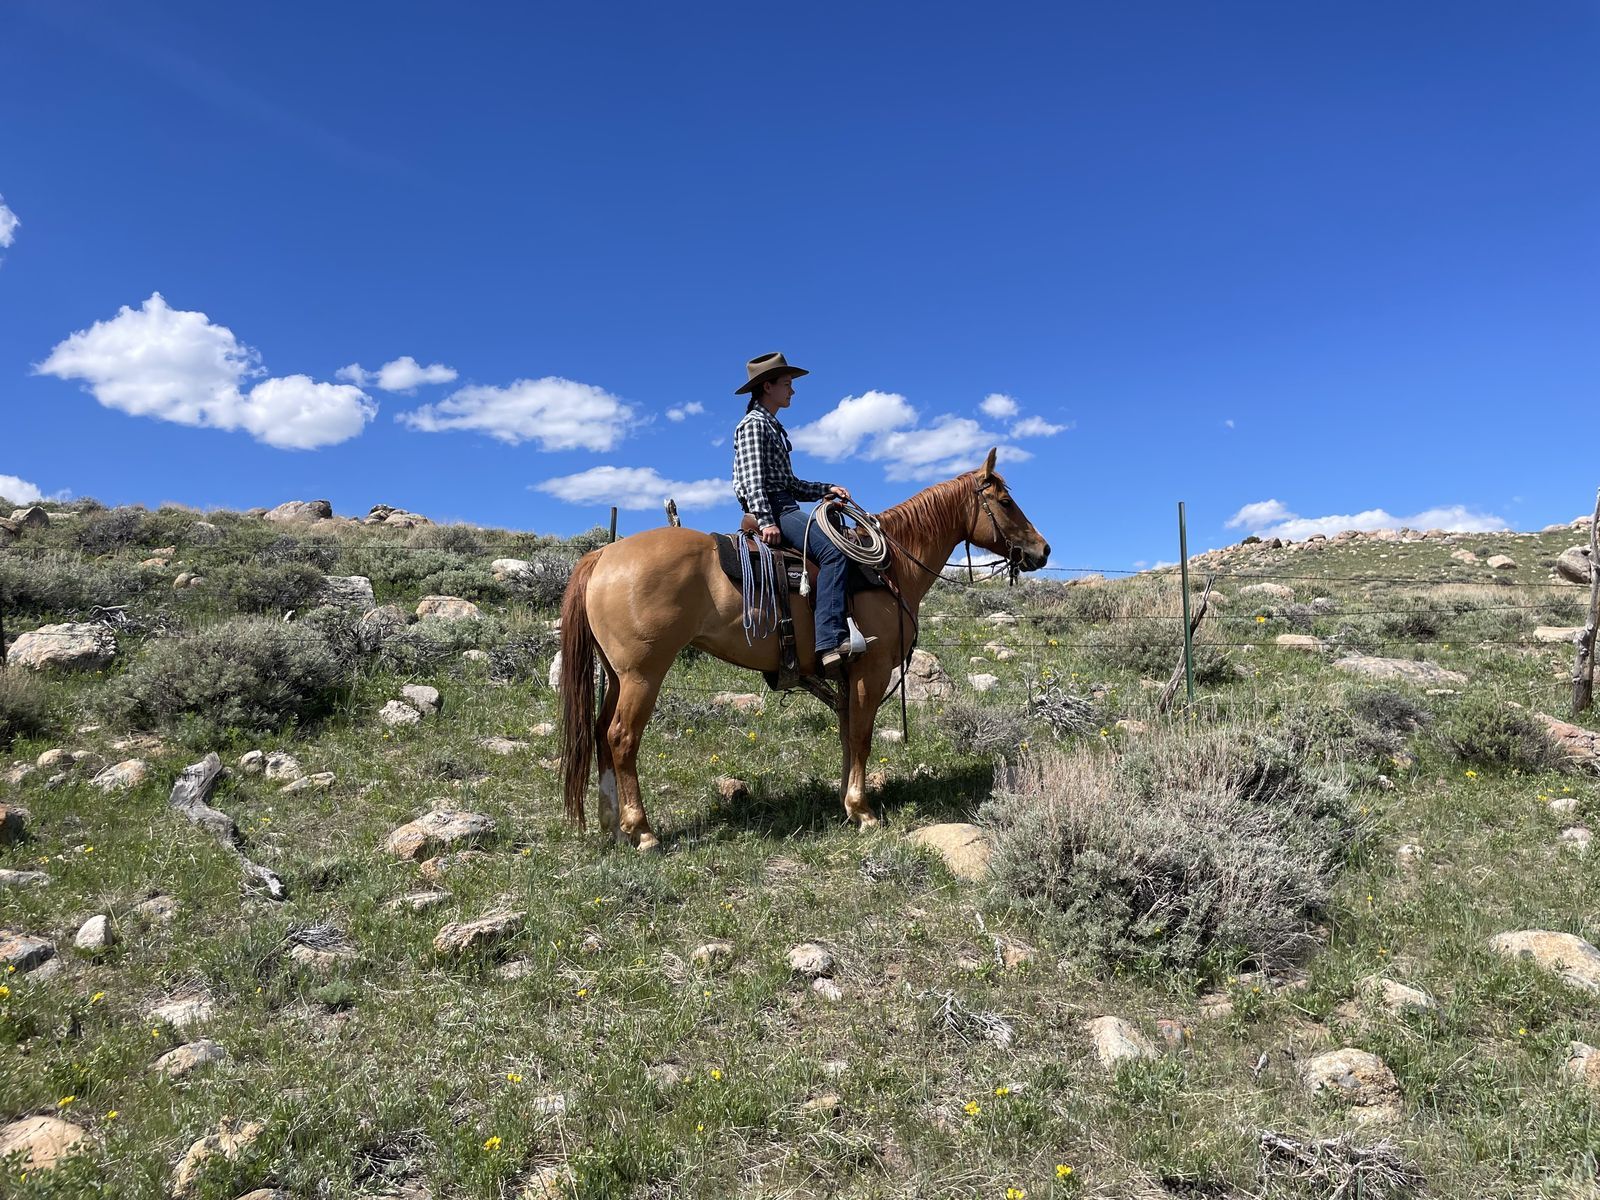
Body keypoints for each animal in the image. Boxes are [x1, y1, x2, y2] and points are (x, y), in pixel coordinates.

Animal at [558, 447, 1051, 850]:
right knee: (621, 737)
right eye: (1005, 501)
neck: (890, 568)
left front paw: (846, 801)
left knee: (600, 733)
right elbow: (862, 735)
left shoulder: (847, 676)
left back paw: (611, 824)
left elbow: (848, 736)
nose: (1043, 550)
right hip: (643, 674)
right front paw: (863, 810)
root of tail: (603, 555)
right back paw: (641, 830)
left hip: (616, 675)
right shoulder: (871, 670)